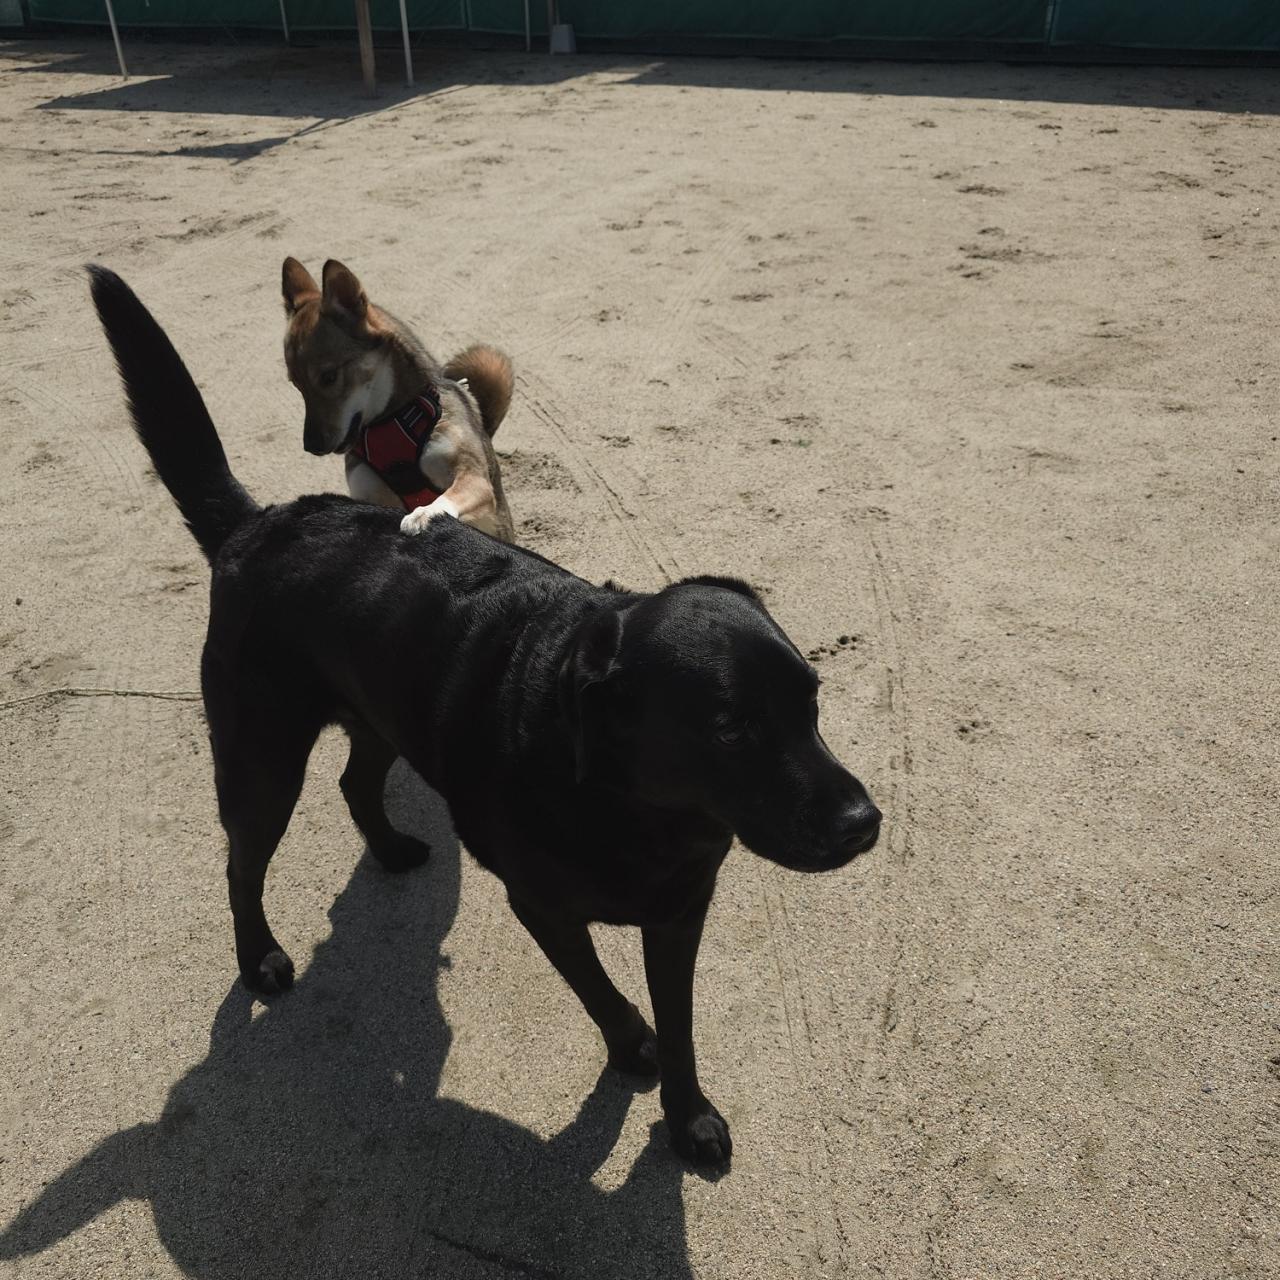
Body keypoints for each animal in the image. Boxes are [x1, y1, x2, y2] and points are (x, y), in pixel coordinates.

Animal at [281, 256, 515, 542]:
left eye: (328, 377)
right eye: (295, 384)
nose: (311, 445)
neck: (390, 419)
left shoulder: (473, 477)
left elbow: (448, 497)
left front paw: (423, 513)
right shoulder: (367, 493)